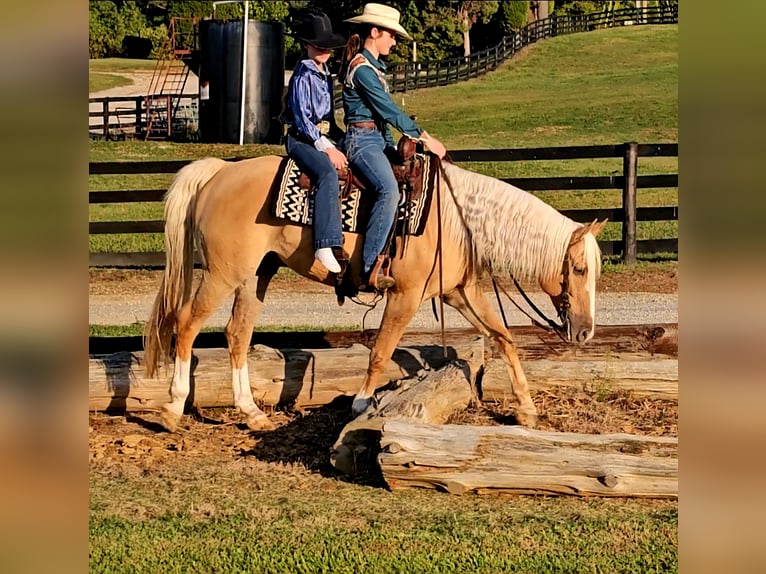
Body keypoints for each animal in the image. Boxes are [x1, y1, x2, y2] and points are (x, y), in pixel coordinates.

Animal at [143, 154, 606, 432]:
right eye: (580, 269)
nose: (585, 332)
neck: (456, 219)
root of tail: (220, 171)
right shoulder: (405, 295)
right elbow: (381, 351)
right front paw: (362, 405)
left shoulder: (460, 292)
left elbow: (504, 338)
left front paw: (526, 408)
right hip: (222, 274)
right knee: (186, 324)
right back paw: (172, 408)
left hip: (255, 275)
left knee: (237, 335)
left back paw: (252, 413)